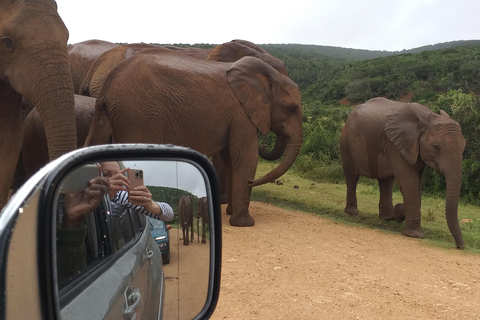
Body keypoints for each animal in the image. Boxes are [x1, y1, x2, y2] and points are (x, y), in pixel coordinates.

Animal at [84, 51, 302, 228]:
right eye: (291, 109)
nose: (265, 145)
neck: (268, 76)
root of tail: (106, 86)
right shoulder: (242, 114)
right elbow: (244, 157)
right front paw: (245, 223)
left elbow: (230, 159)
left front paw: (232, 213)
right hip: (137, 115)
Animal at [340, 97, 466, 250]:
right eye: (436, 147)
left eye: (464, 147)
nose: (460, 246)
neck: (427, 118)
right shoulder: (397, 144)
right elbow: (409, 180)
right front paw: (414, 234)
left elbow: (417, 183)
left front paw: (400, 213)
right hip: (346, 141)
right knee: (352, 176)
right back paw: (352, 212)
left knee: (386, 181)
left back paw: (387, 217)